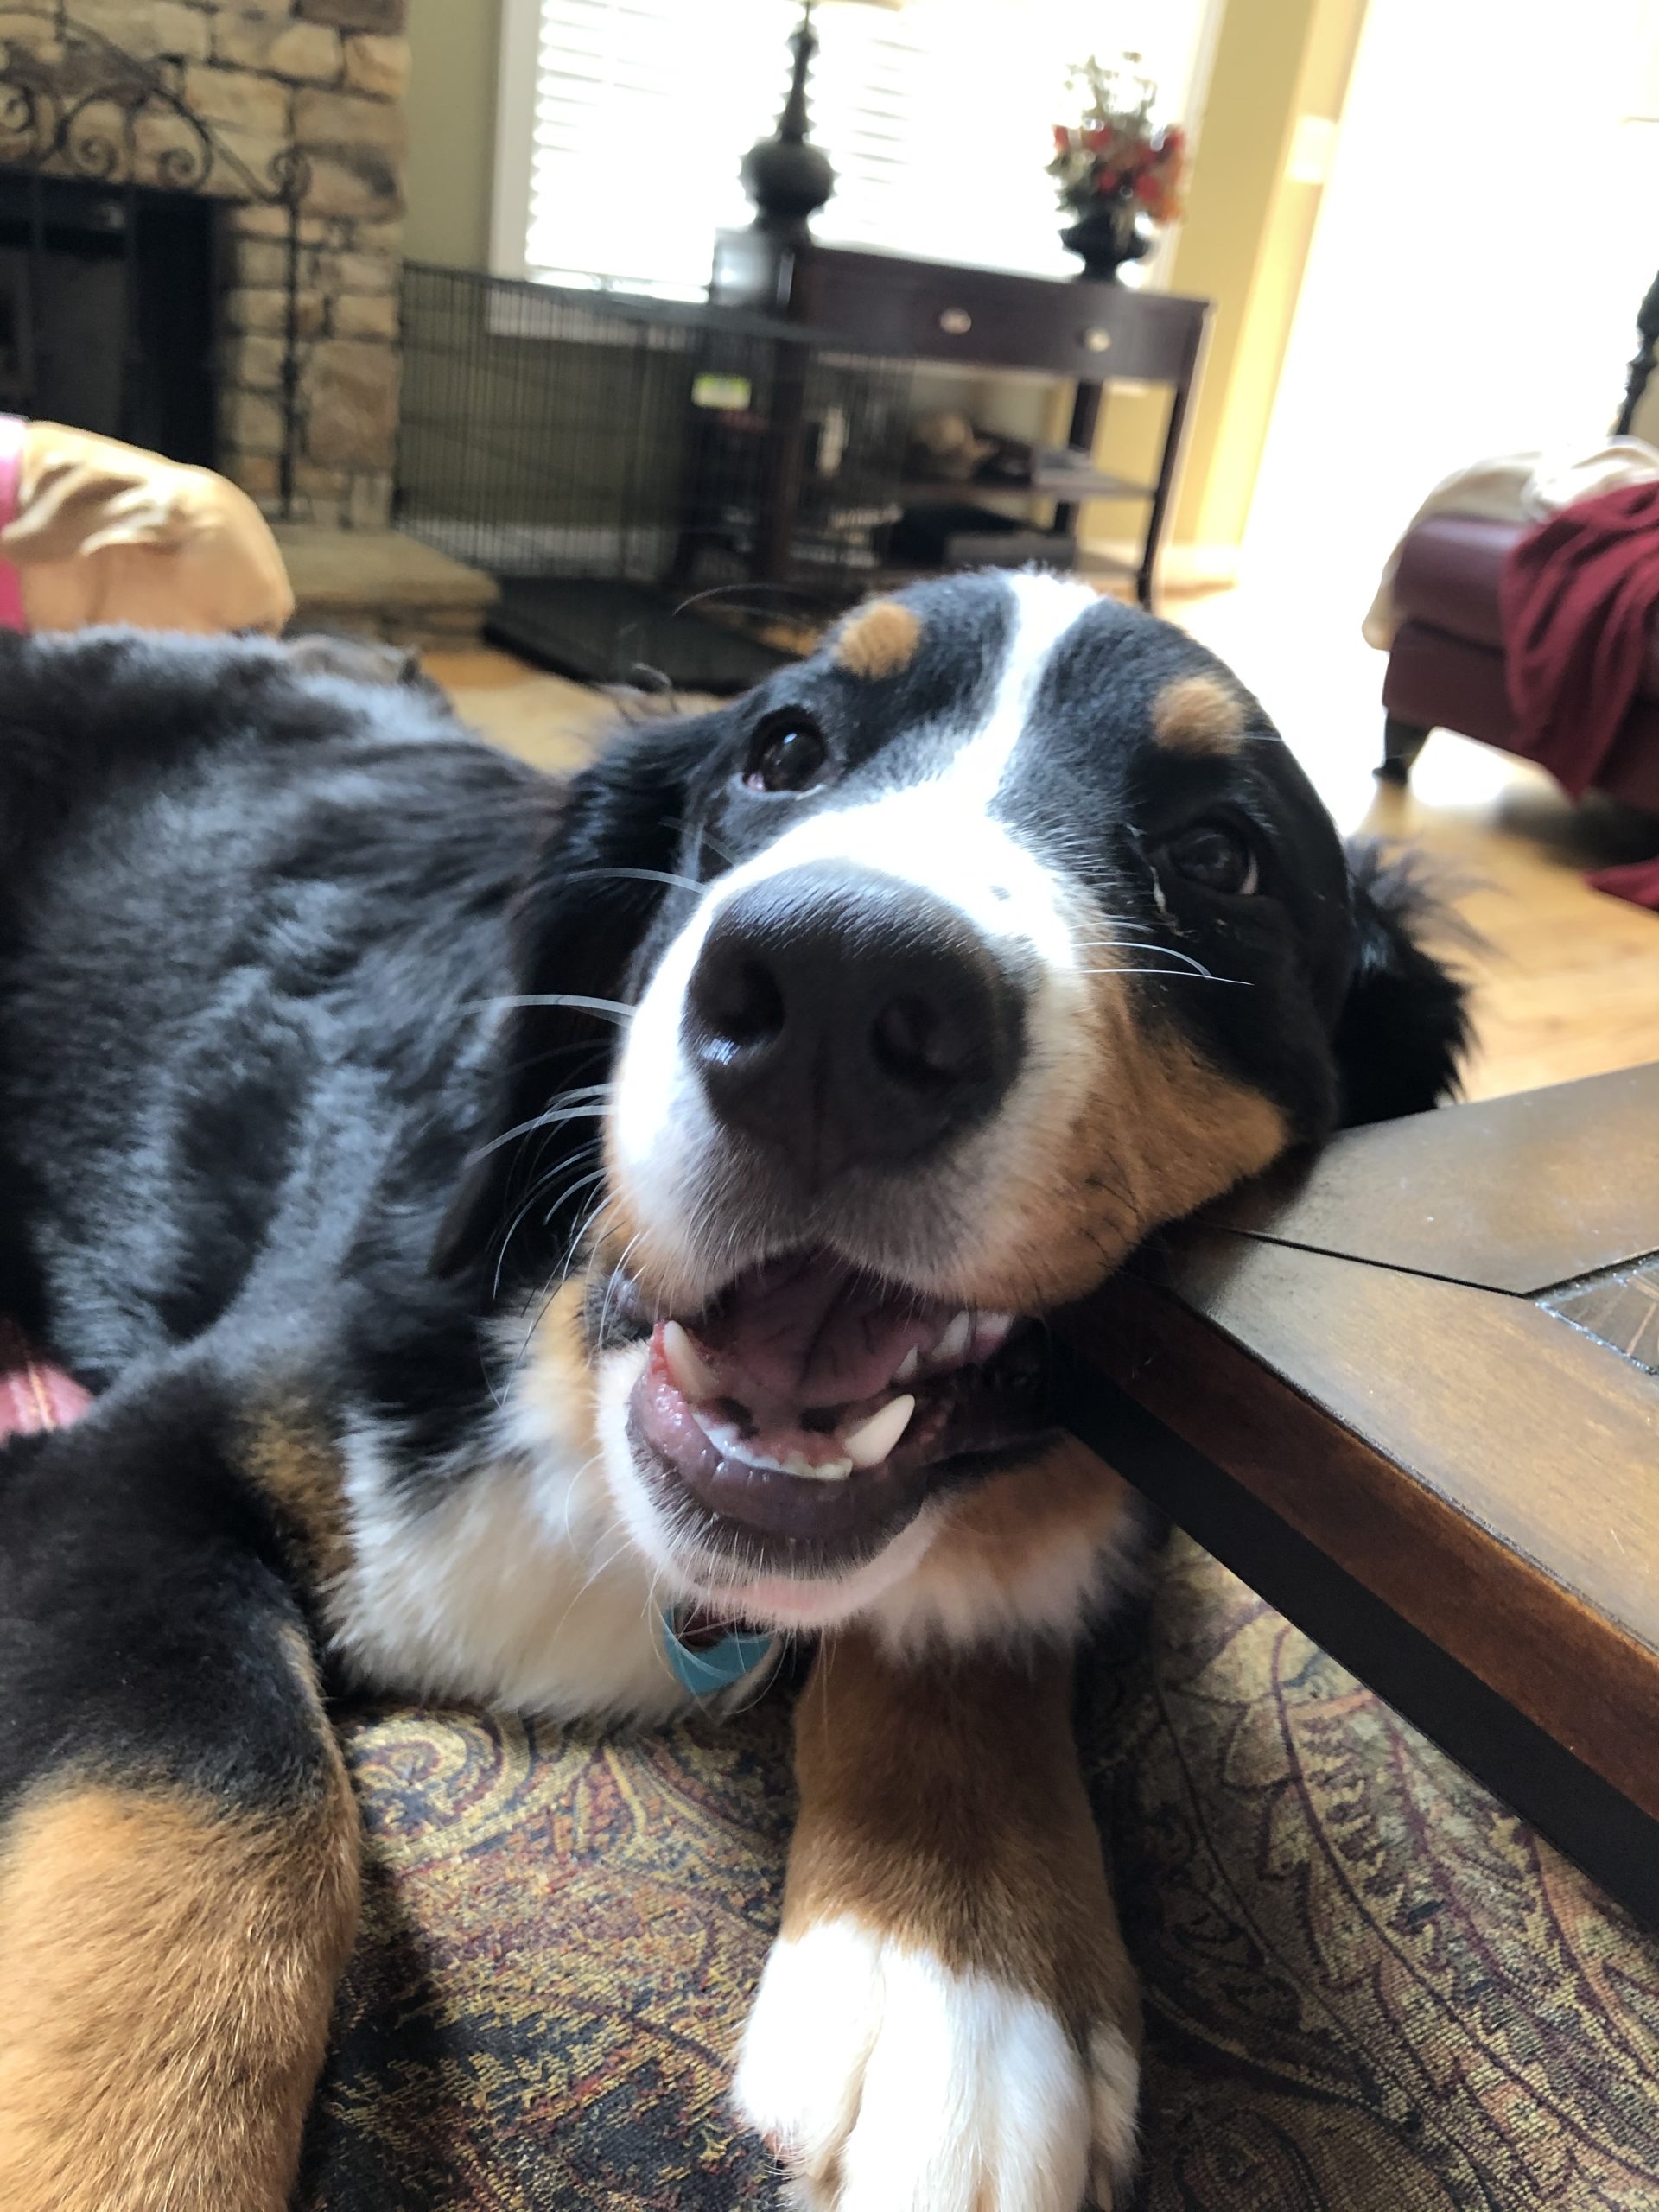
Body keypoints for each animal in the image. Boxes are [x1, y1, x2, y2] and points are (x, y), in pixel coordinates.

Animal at [0, 575, 1468, 2212]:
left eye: (1219, 857)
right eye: (784, 749)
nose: (842, 986)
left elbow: (964, 1610)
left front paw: (956, 1986)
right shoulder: (141, 1455)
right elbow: (196, 1821)